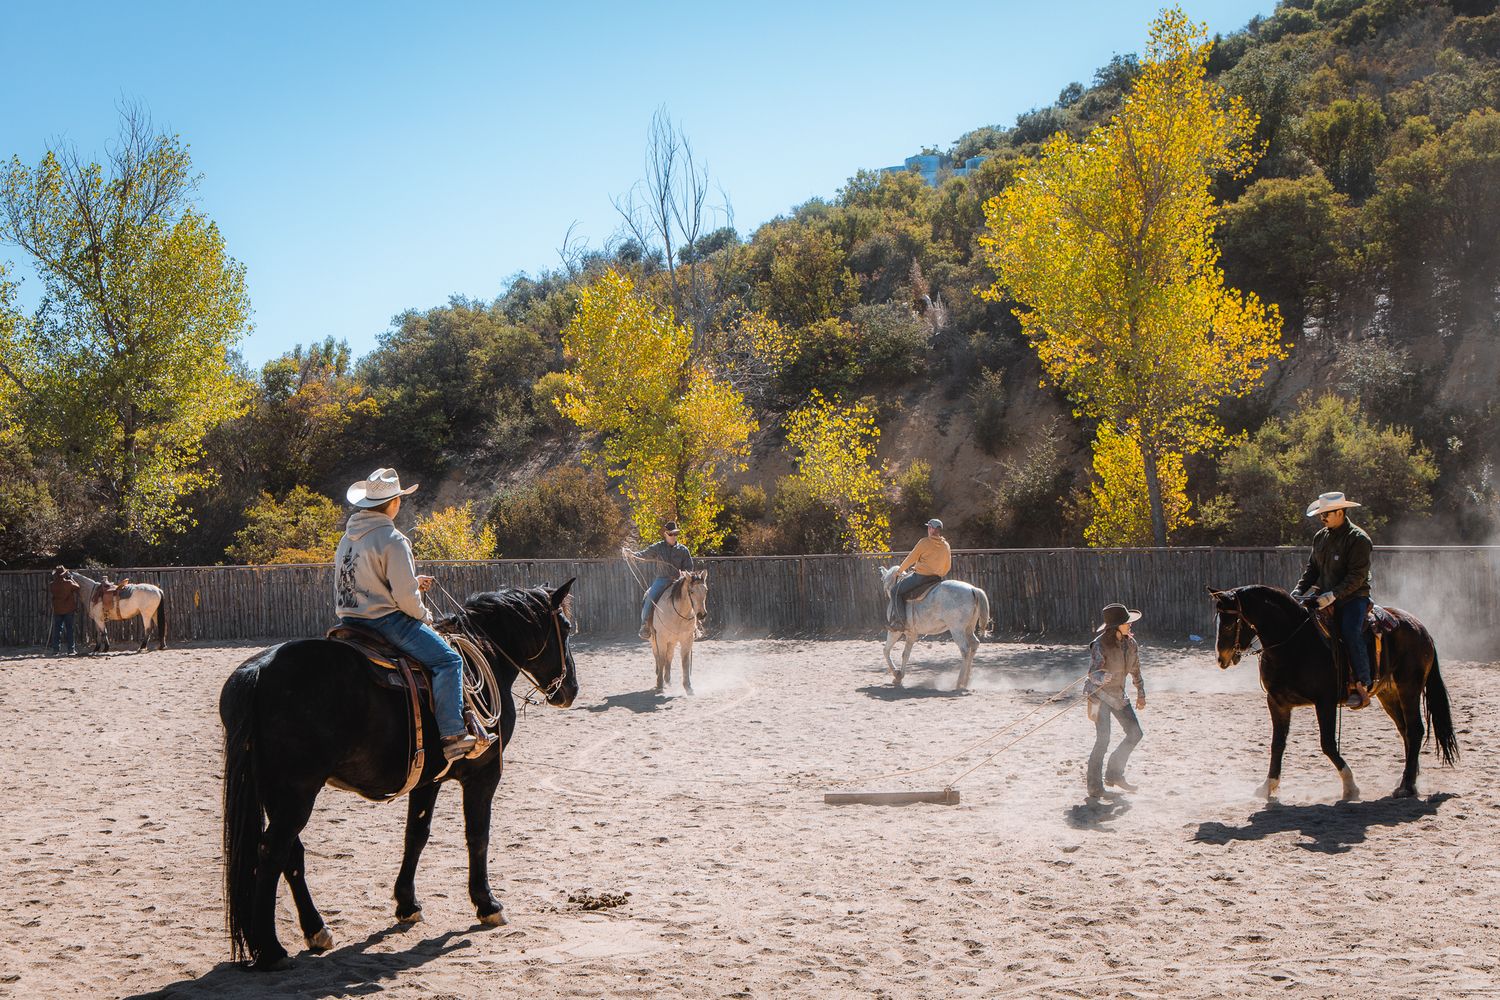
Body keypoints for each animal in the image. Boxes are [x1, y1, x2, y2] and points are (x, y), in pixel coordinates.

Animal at [220, 580, 578, 970]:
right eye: (566, 628)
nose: (570, 690)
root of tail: (258, 670)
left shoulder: (427, 779)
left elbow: (416, 835)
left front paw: (407, 904)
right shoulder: (484, 774)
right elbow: (478, 836)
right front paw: (487, 903)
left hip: (274, 791)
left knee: (290, 853)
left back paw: (316, 930)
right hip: (296, 792)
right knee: (272, 852)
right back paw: (270, 949)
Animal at [1208, 584, 1458, 801]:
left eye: (1229, 624)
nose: (1221, 658)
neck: (1293, 643)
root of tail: (1421, 628)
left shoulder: (1325, 702)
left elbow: (1327, 744)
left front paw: (1350, 787)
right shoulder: (1277, 702)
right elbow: (1277, 744)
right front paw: (1268, 785)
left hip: (1409, 689)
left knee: (1415, 730)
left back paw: (1406, 787)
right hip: (1389, 694)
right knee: (1405, 731)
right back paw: (1408, 779)